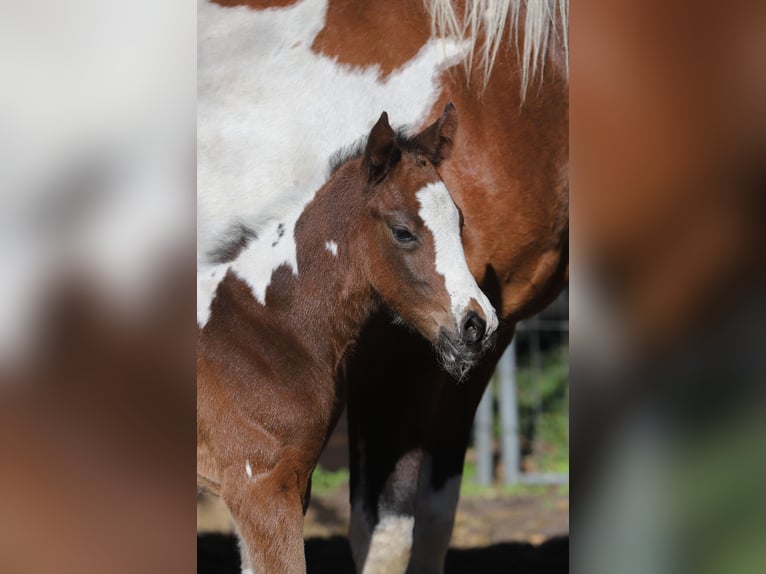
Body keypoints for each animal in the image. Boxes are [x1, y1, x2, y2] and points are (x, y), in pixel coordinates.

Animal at [197, 105, 499, 573]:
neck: (263, 326)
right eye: (403, 231)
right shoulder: (260, 488)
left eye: (459, 222)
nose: (477, 324)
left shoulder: (288, 487)